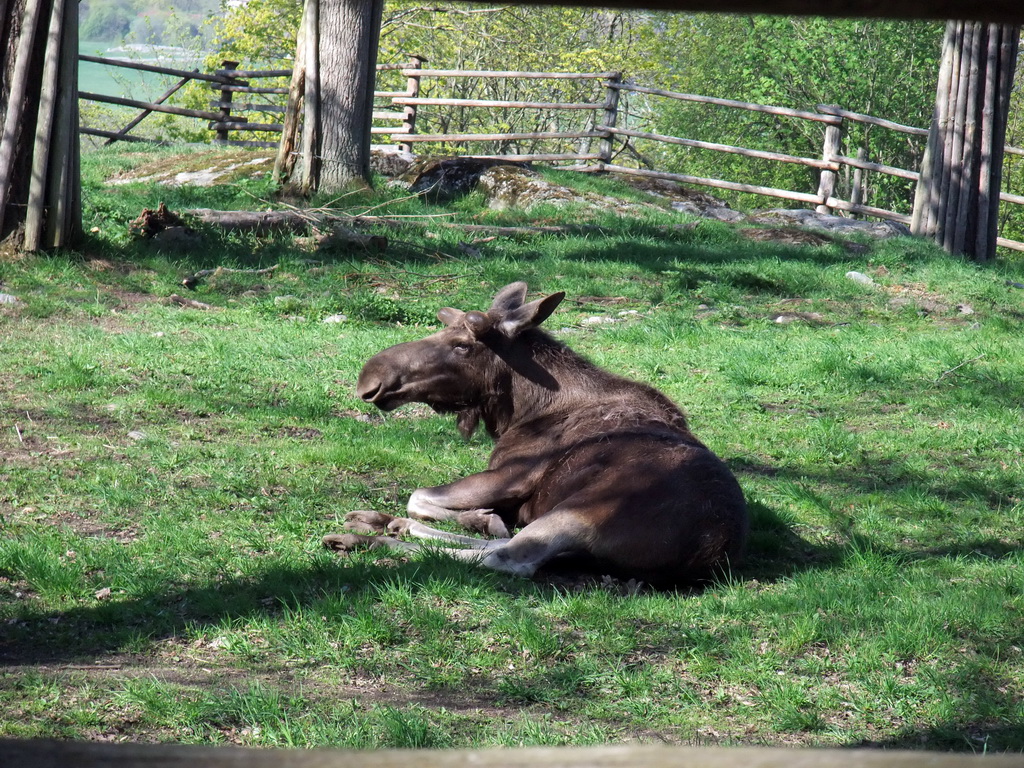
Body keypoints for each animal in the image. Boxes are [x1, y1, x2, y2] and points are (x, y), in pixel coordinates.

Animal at [323, 282, 749, 589]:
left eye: (462, 345)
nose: (370, 378)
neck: (522, 409)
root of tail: (709, 552)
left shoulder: (510, 474)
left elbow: (418, 496)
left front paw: (476, 516)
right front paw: (481, 518)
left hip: (577, 512)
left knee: (507, 558)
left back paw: (374, 537)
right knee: (508, 544)